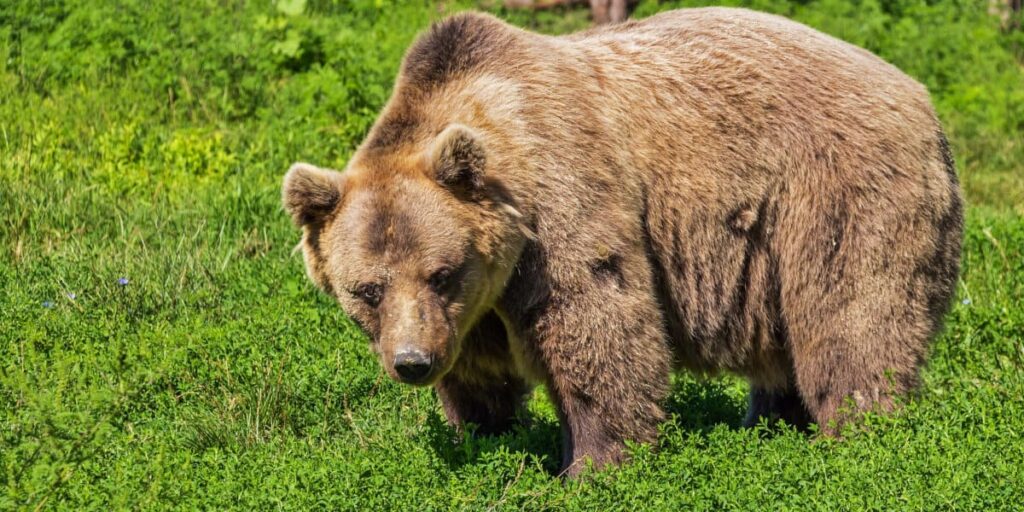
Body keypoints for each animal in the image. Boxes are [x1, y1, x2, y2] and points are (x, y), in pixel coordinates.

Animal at [282, 7, 963, 476]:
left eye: (440, 272)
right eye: (367, 290)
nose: (412, 362)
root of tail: (921, 97)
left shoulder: (561, 205)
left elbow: (598, 324)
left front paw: (591, 465)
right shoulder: (473, 308)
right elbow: (479, 373)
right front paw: (486, 434)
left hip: (836, 194)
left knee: (852, 320)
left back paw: (858, 434)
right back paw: (771, 424)